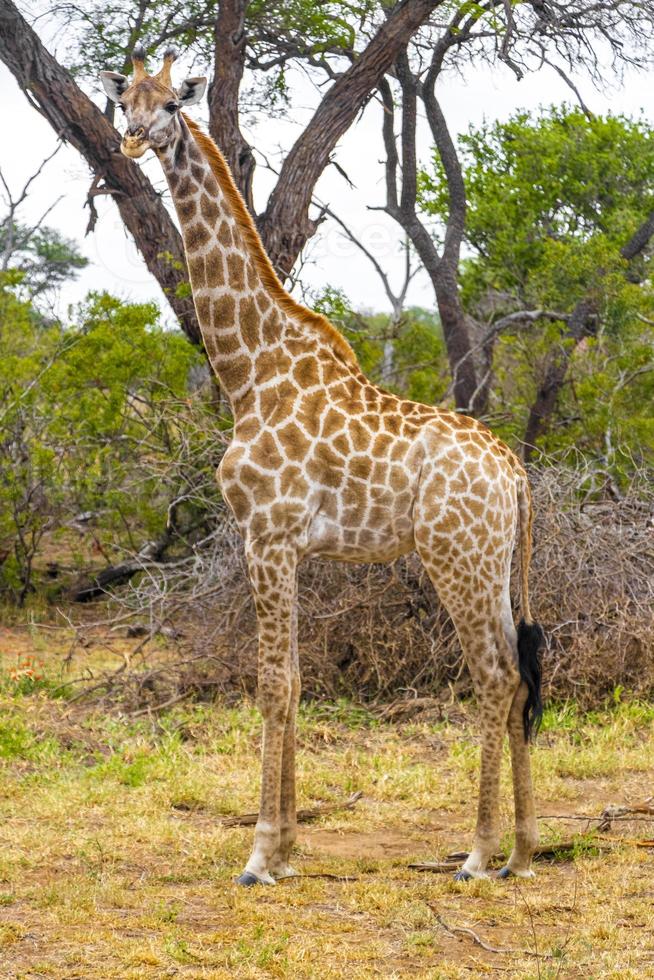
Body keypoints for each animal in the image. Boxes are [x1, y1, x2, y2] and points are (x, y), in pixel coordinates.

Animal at [100, 46, 544, 888]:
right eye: (123, 102)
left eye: (173, 102)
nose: (134, 142)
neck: (250, 370)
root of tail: (515, 471)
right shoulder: (293, 547)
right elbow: (298, 680)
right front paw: (290, 849)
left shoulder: (265, 534)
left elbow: (273, 684)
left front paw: (260, 854)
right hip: (496, 562)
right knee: (522, 670)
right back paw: (524, 849)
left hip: (455, 558)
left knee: (495, 676)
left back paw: (477, 852)